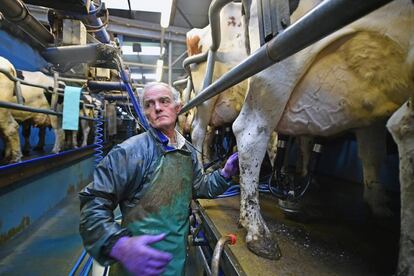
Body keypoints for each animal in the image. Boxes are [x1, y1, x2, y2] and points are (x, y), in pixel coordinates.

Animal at [231, 0, 414, 264]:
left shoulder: (372, 118)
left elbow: (372, 153)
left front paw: (378, 205)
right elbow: (404, 129)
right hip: (277, 64)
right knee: (251, 130)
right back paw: (258, 230)